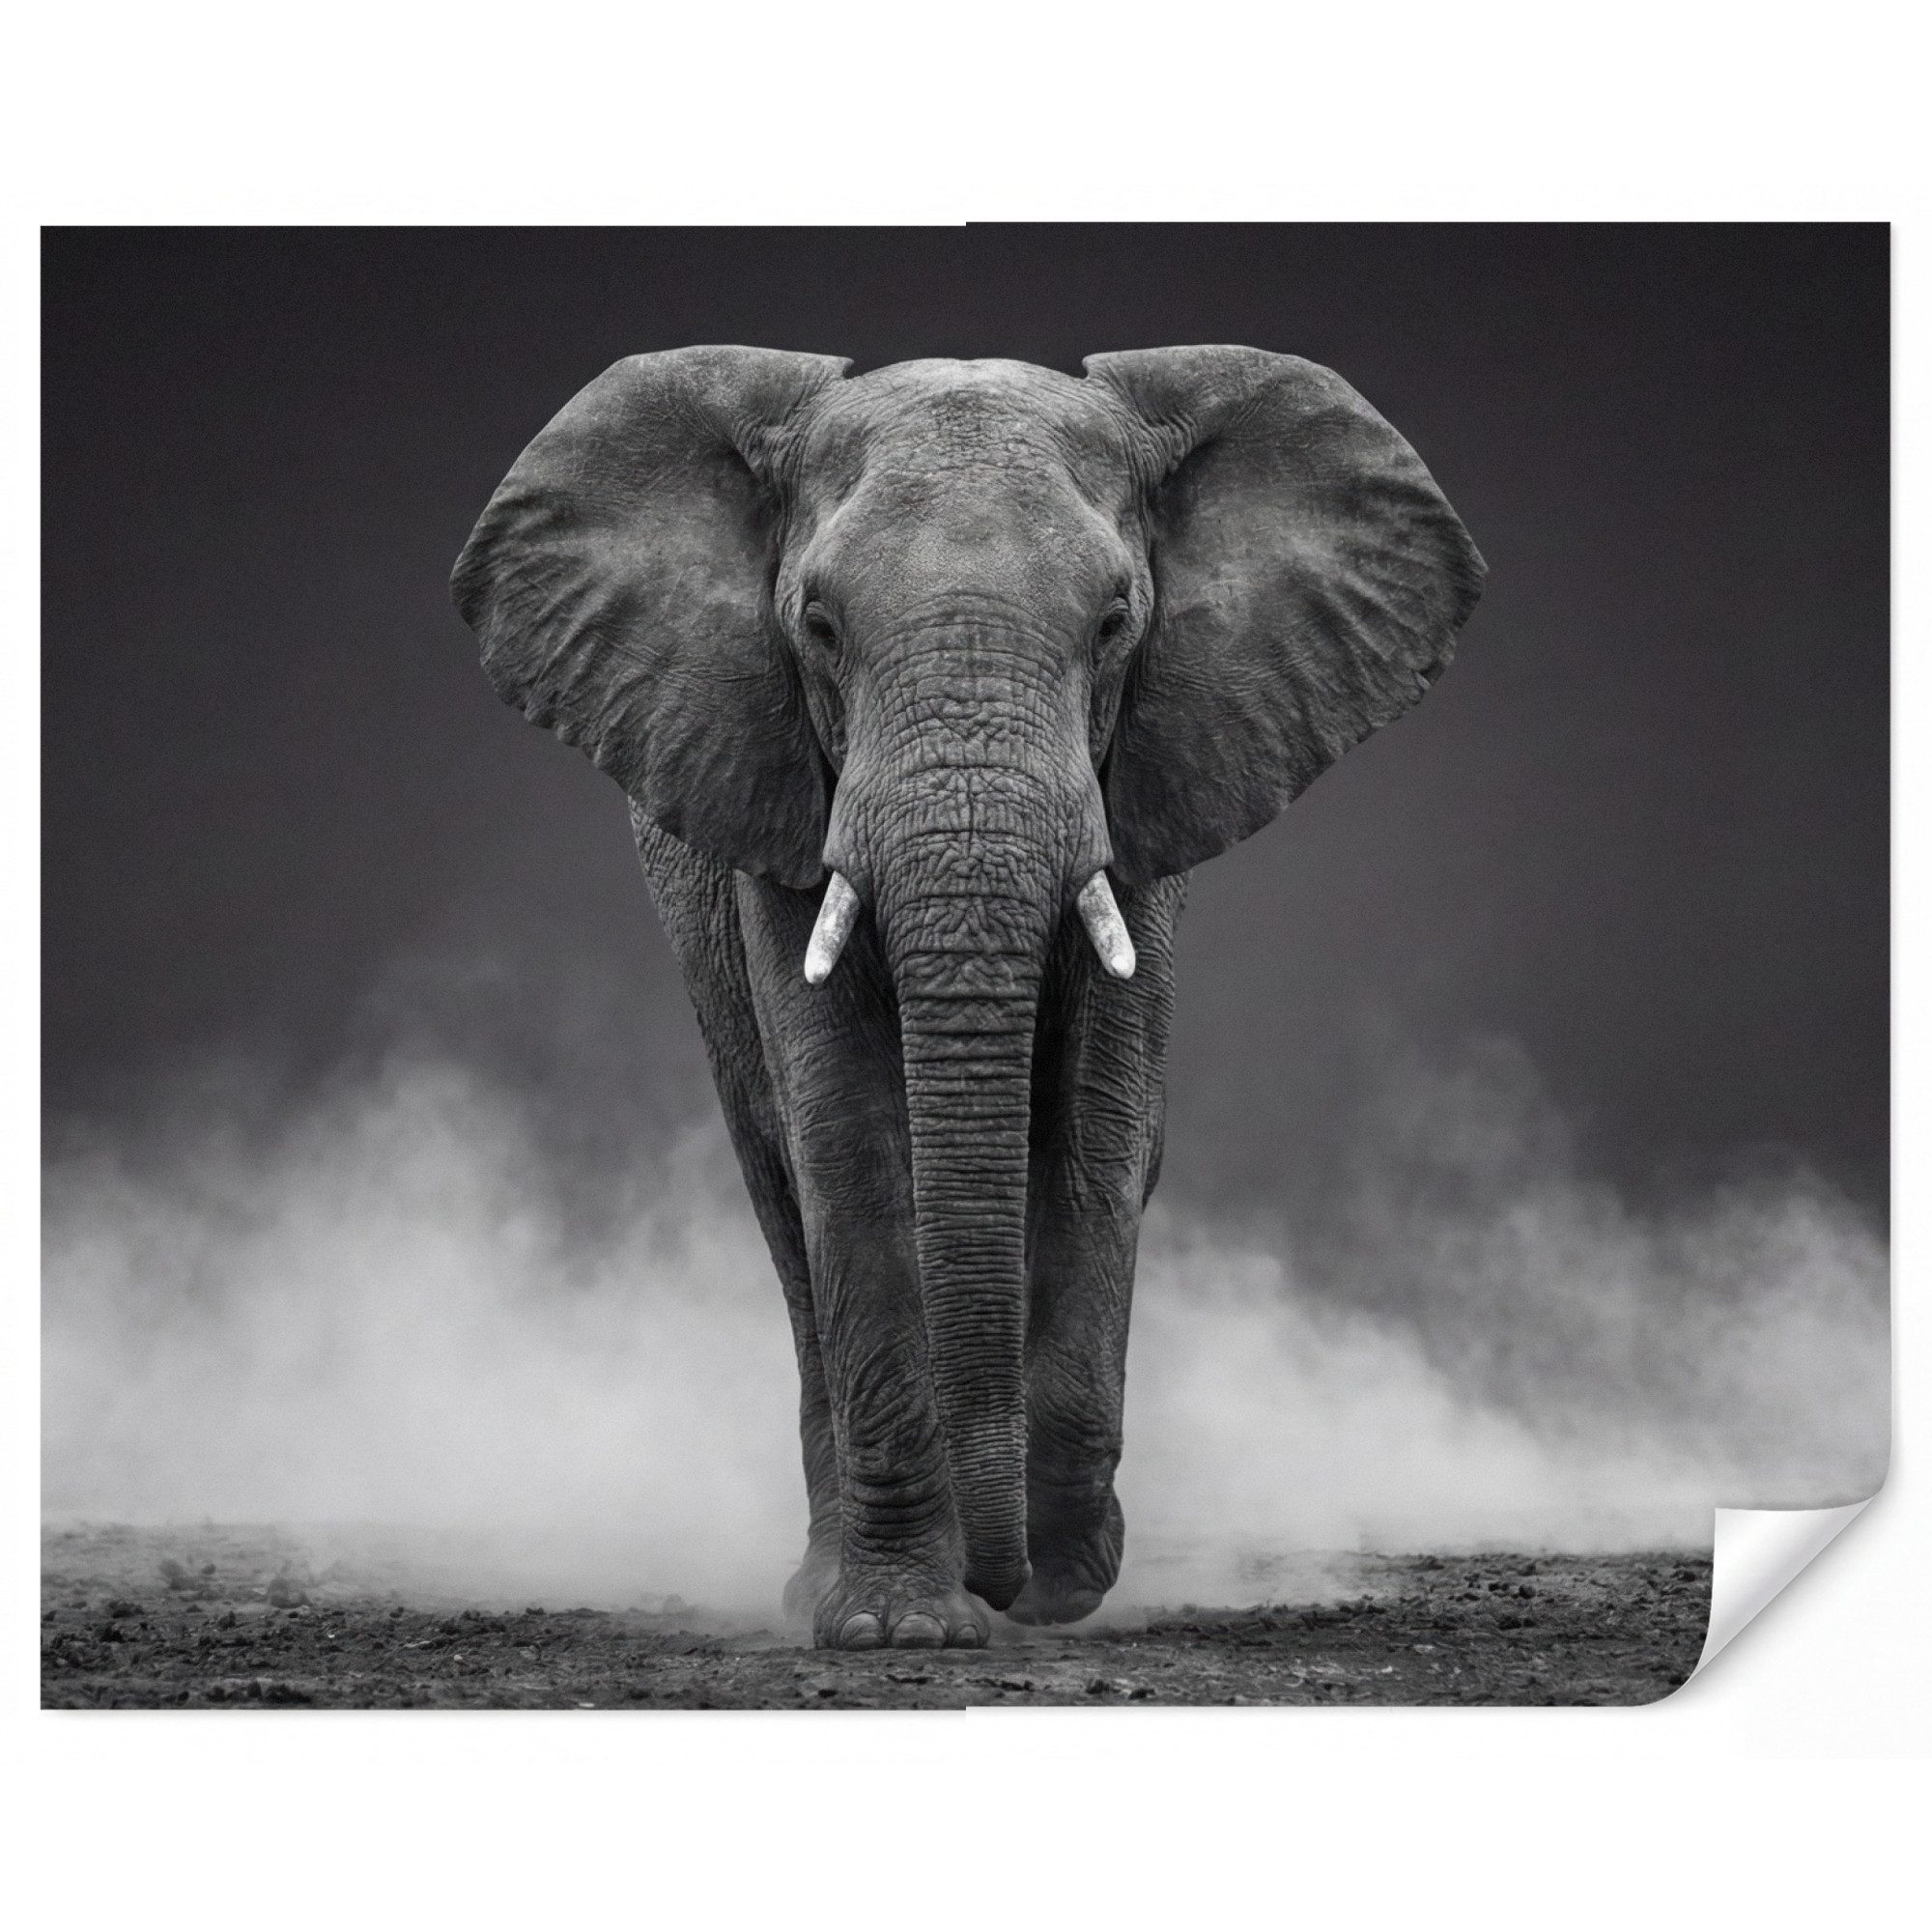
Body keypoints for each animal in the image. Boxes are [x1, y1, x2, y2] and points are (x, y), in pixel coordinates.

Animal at [452, 344, 1484, 1649]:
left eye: (1113, 622)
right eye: (817, 625)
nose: (1004, 1581)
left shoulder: (1143, 794)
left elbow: (1099, 1133)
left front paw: (1061, 1581)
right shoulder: (777, 797)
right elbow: (845, 1141)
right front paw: (898, 1624)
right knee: (782, 1196)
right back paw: (821, 1582)